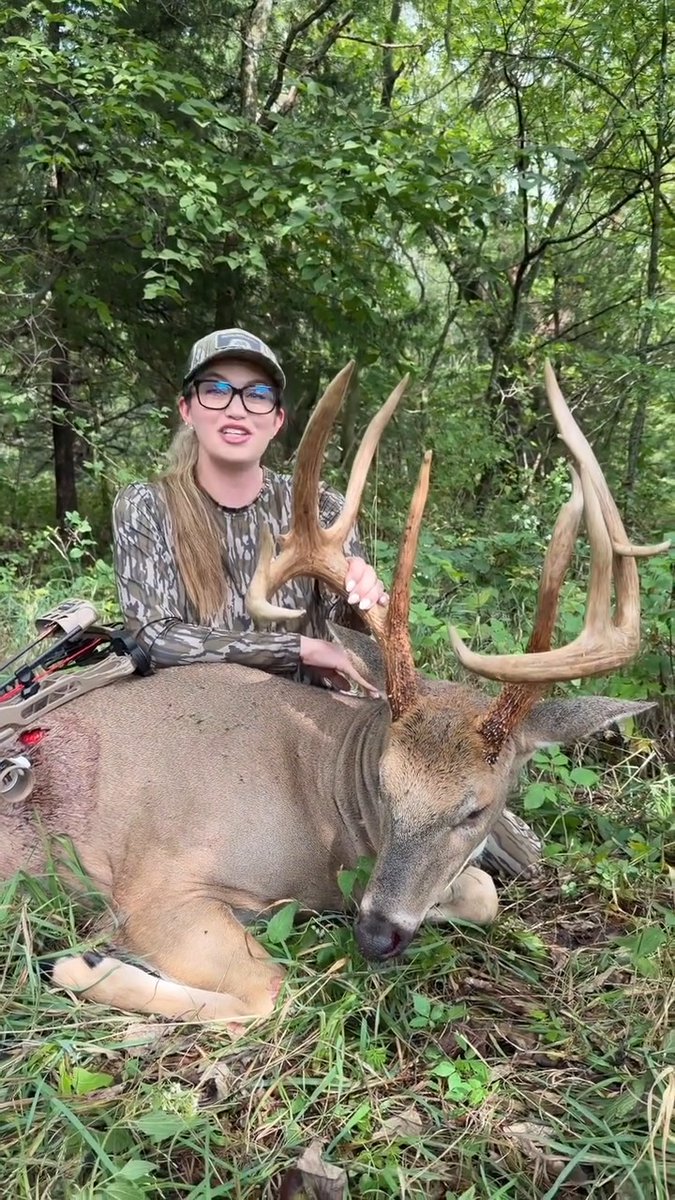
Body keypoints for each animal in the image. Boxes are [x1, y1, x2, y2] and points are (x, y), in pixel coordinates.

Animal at [0, 362, 667, 1027]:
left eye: (475, 809)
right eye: (384, 784)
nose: (374, 936)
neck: (324, 804)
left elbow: (483, 892)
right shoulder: (155, 883)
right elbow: (268, 991)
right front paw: (83, 964)